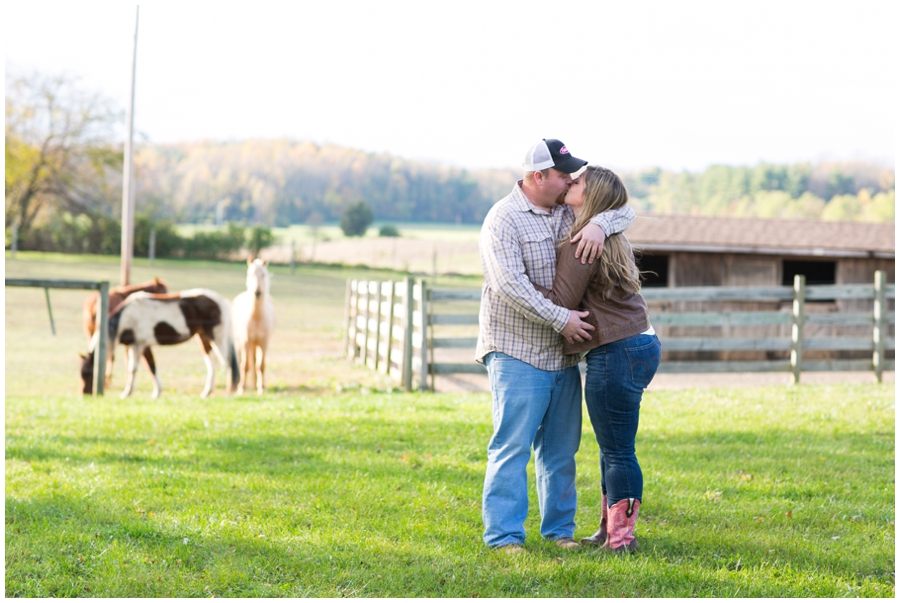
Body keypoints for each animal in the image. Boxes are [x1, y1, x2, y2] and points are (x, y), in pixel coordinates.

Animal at [79, 290, 237, 398]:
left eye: (87, 374)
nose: (85, 393)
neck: (125, 318)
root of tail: (223, 301)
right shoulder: (135, 346)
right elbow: (149, 367)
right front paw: (156, 392)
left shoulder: (140, 345)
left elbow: (137, 369)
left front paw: (128, 393)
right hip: (203, 337)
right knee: (212, 364)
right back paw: (206, 392)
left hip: (217, 337)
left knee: (228, 363)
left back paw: (229, 393)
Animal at [232, 258, 274, 396]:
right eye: (250, 273)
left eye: (263, 274)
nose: (257, 292)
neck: (256, 317)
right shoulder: (246, 341)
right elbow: (245, 366)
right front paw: (241, 389)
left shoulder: (263, 341)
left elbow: (260, 365)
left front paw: (261, 388)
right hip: (240, 343)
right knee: (243, 362)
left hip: (255, 344)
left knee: (255, 361)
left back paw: (257, 385)